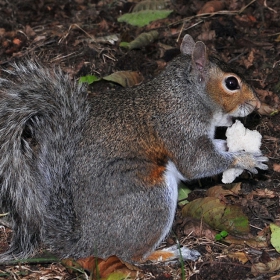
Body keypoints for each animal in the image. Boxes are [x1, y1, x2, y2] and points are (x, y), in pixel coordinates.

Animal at [0, 35, 268, 264]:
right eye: (231, 83)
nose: (257, 103)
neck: (187, 95)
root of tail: (86, 243)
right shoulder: (178, 125)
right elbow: (196, 163)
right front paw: (244, 160)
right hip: (151, 198)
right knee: (131, 256)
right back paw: (170, 253)